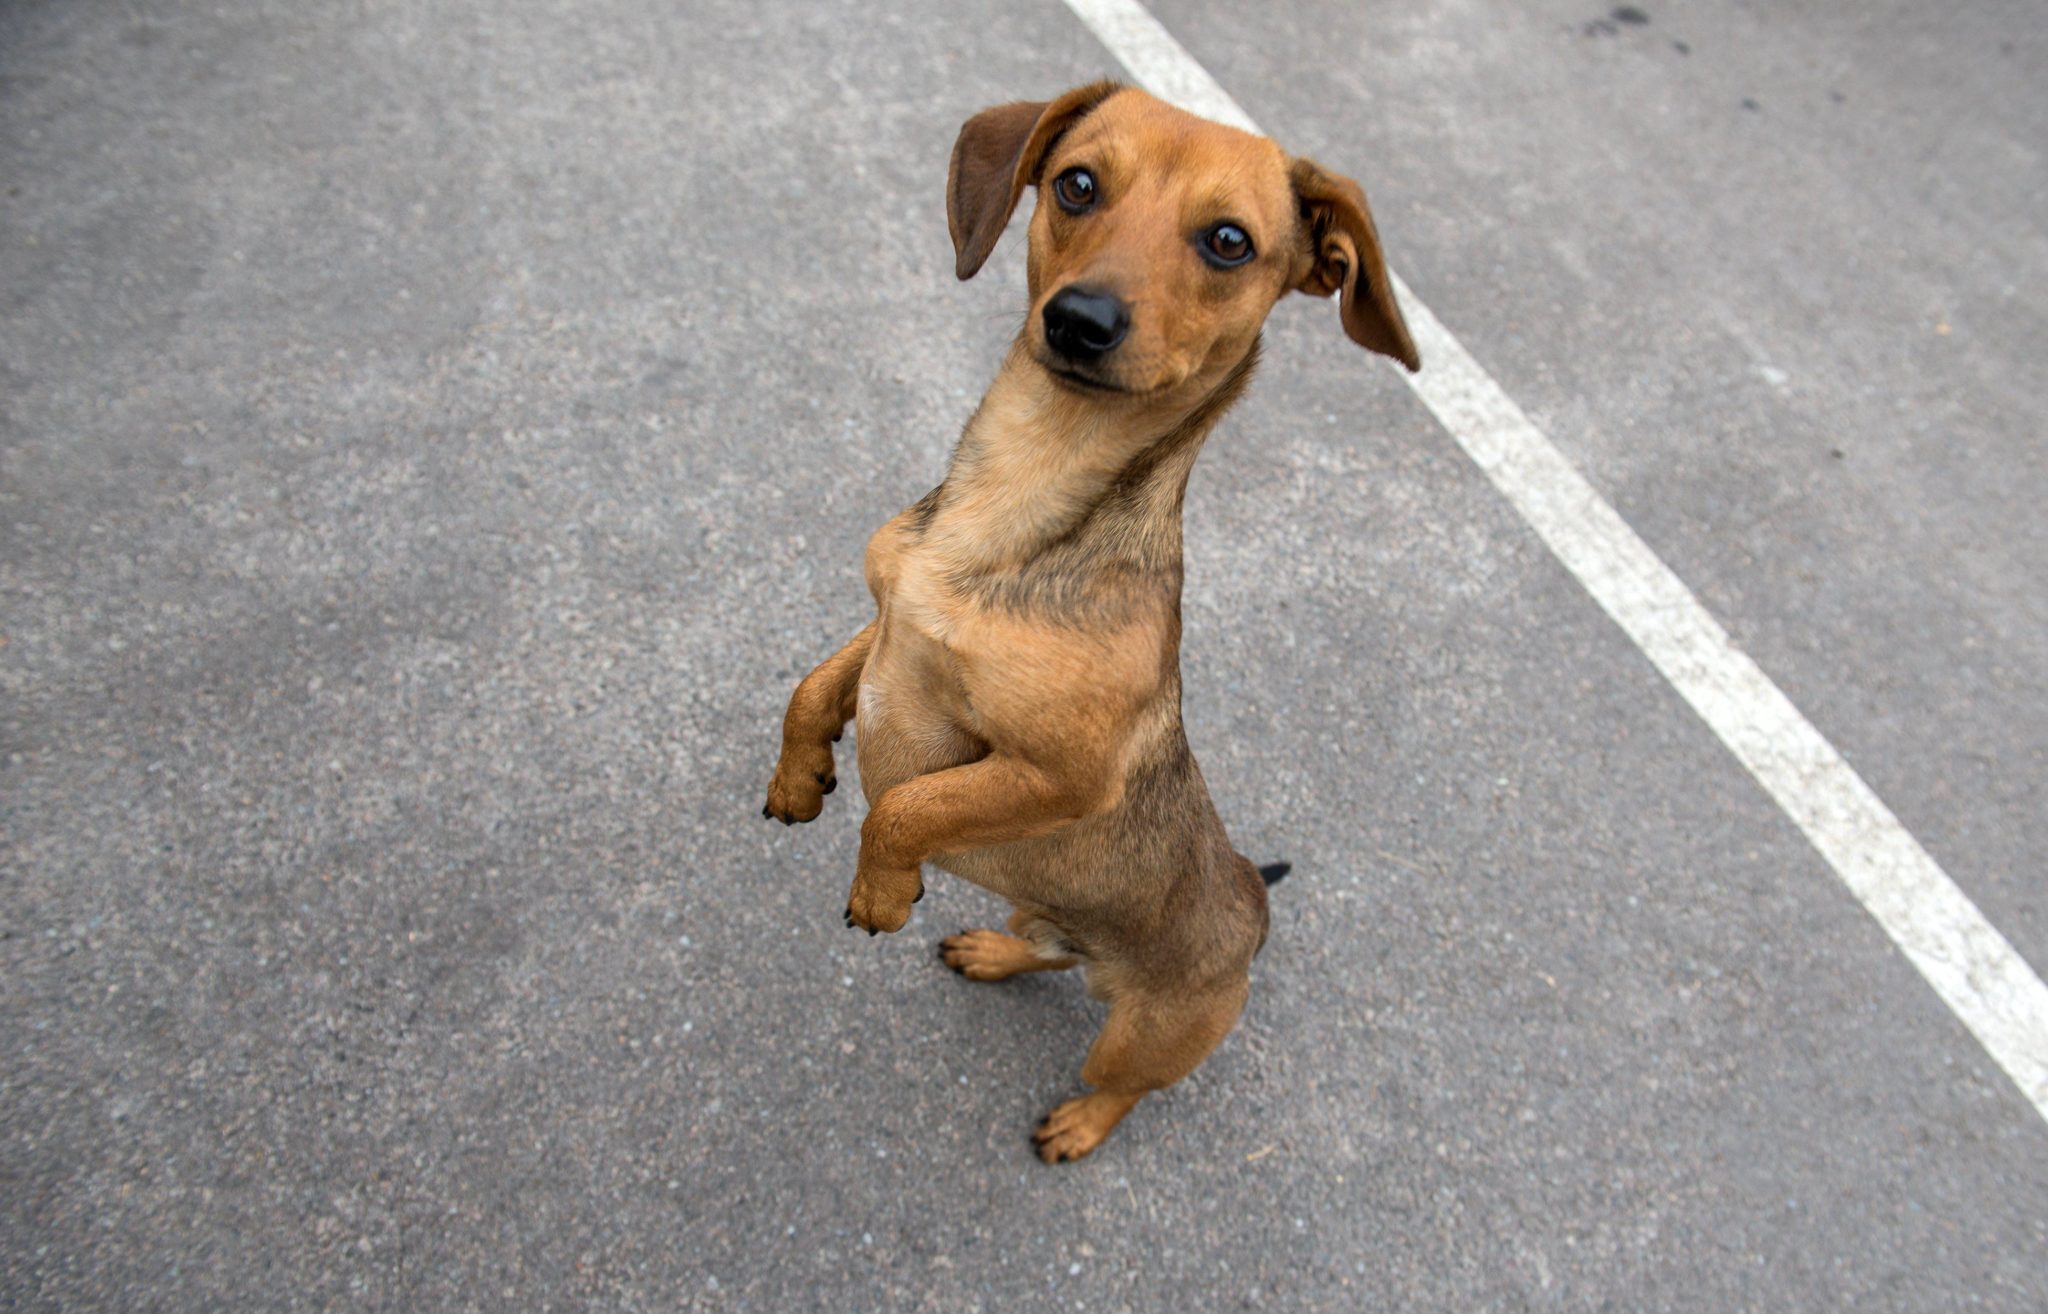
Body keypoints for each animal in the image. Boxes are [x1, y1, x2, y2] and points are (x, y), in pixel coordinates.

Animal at [761, 81, 1417, 1154]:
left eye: (1228, 241)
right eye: (1076, 184)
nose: (1079, 319)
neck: (1020, 494)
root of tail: (1252, 899)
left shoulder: (1056, 774)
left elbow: (907, 806)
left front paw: (881, 889)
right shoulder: (891, 621)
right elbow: (814, 686)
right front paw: (798, 776)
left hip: (1141, 1038)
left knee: (1122, 1085)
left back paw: (1076, 1127)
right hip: (1043, 916)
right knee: (1053, 954)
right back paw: (994, 954)